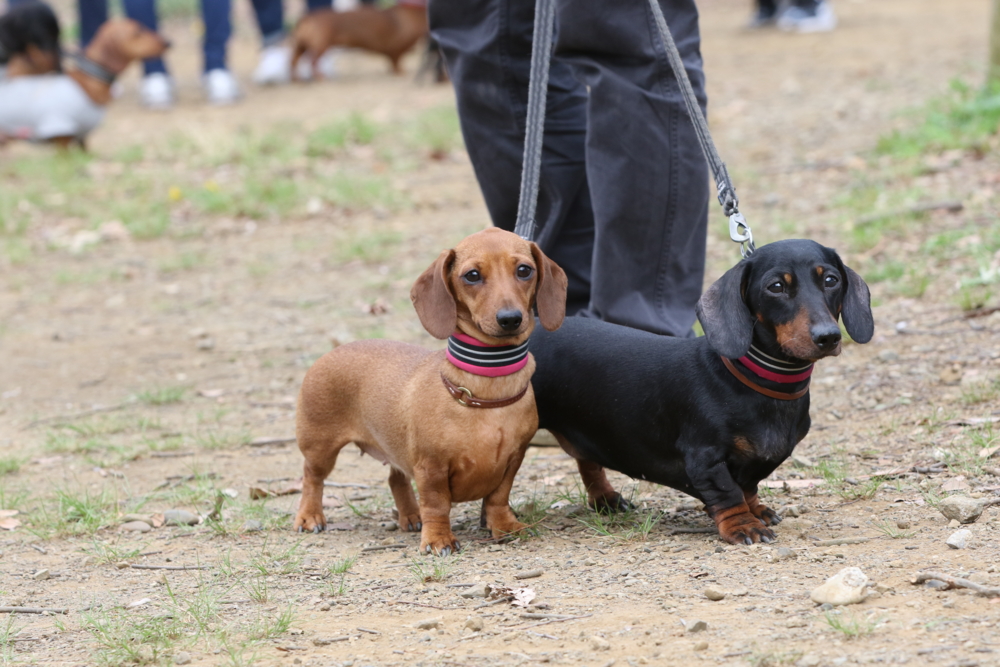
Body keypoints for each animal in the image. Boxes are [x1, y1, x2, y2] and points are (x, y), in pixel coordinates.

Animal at [292, 1, 428, 78]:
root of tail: (307, 18)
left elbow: (392, 62)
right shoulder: (396, 49)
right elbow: (396, 62)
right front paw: (399, 72)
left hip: (300, 46)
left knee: (294, 61)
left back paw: (296, 79)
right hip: (320, 46)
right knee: (313, 62)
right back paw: (319, 77)